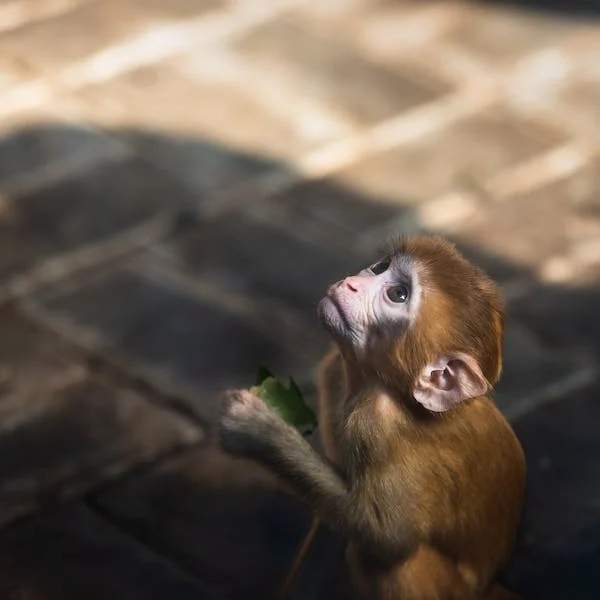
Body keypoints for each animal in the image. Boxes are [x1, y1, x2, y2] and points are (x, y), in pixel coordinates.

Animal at [219, 237, 524, 596]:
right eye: (381, 266)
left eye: (398, 294)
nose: (352, 283)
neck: (405, 397)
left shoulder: (378, 420)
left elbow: (385, 538)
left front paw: (256, 431)